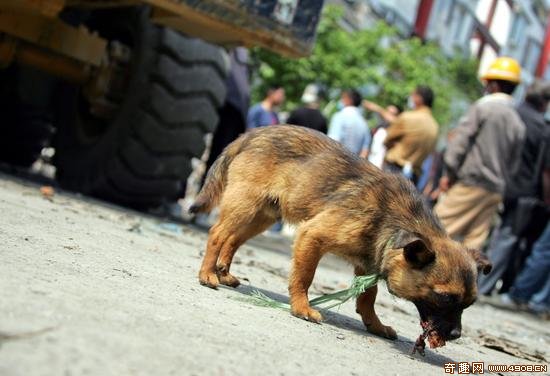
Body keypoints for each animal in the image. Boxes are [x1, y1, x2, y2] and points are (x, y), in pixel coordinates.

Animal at [192, 126, 494, 344]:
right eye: (445, 298)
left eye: (470, 304)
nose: (455, 335)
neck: (395, 221)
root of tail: (252, 133)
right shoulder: (312, 236)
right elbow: (304, 278)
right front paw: (301, 307)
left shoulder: (368, 264)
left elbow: (368, 297)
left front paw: (375, 325)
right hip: (245, 205)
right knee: (218, 233)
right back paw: (207, 274)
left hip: (262, 216)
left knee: (233, 239)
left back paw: (223, 272)